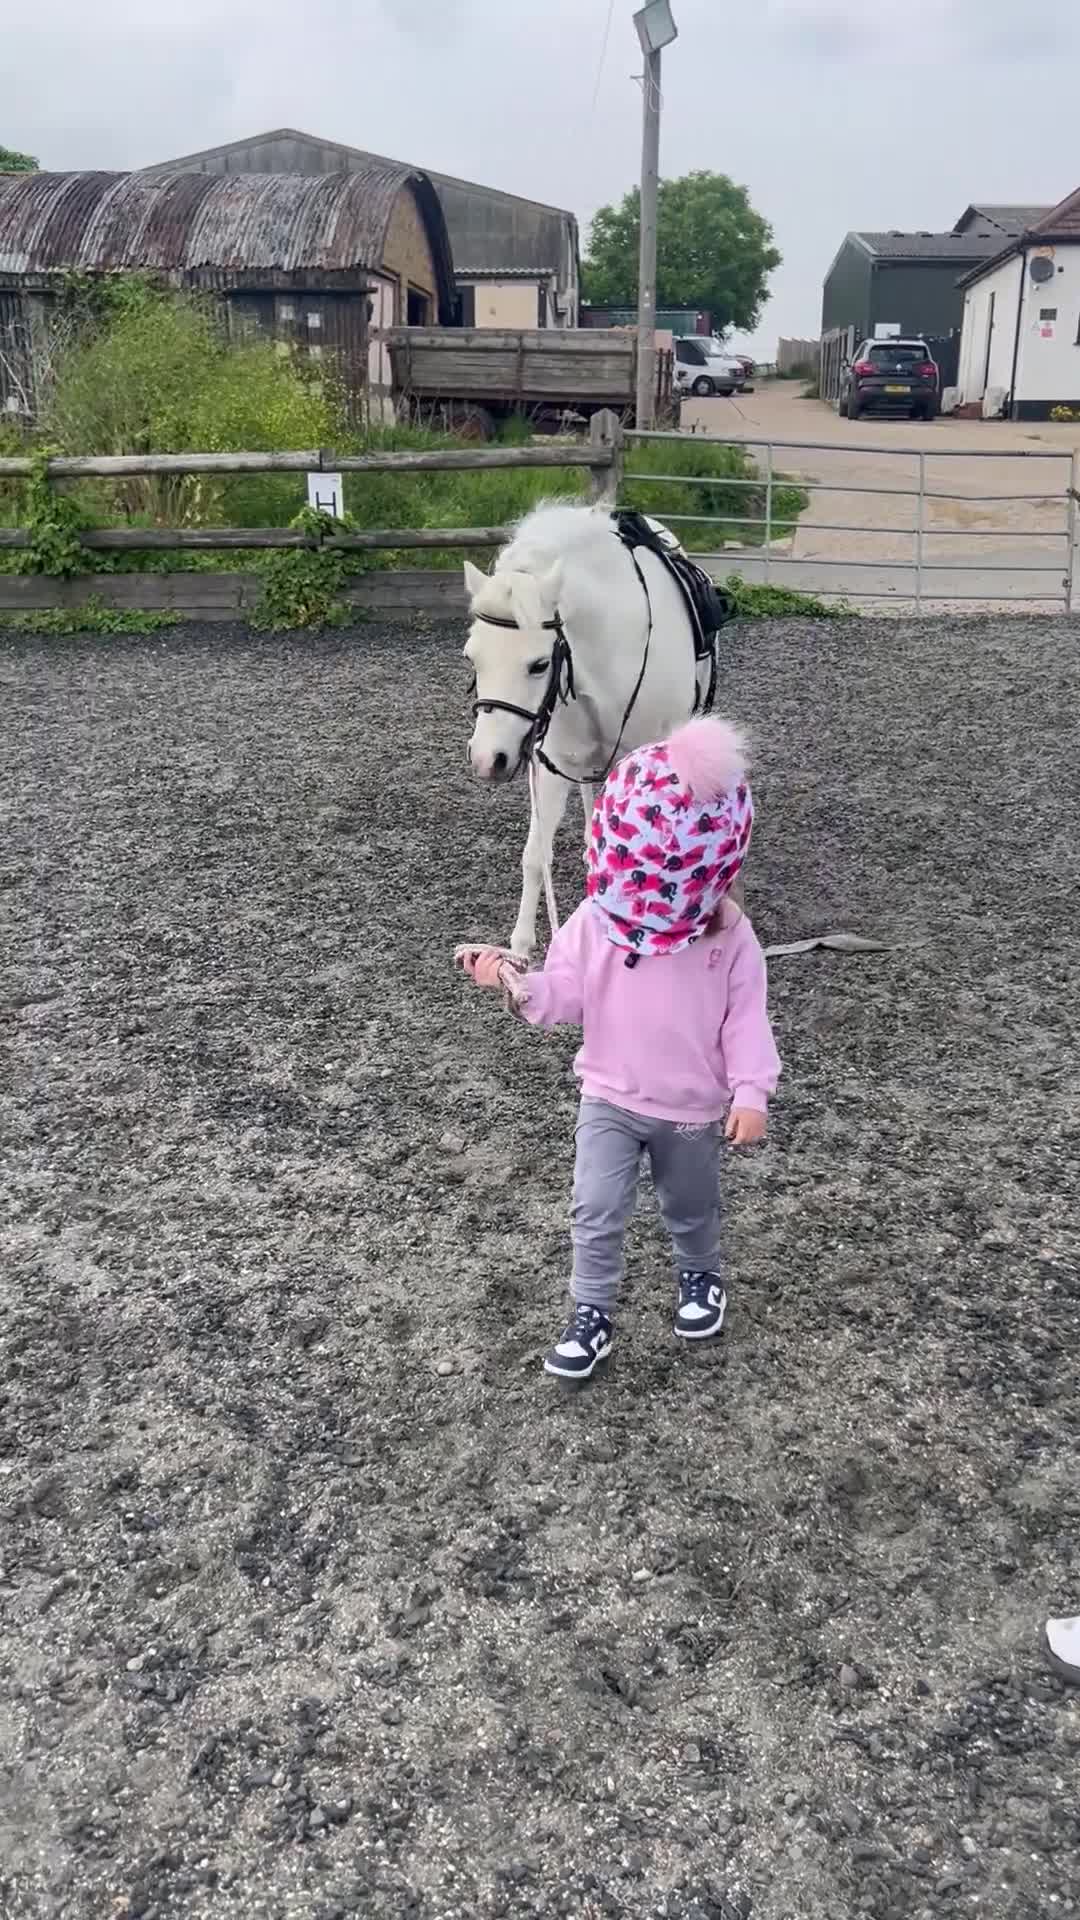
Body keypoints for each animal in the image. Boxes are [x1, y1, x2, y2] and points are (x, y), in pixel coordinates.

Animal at [463, 501, 729, 959]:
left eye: (538, 664)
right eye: (472, 658)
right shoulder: (552, 766)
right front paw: (519, 949)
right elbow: (535, 854)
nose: (487, 759)